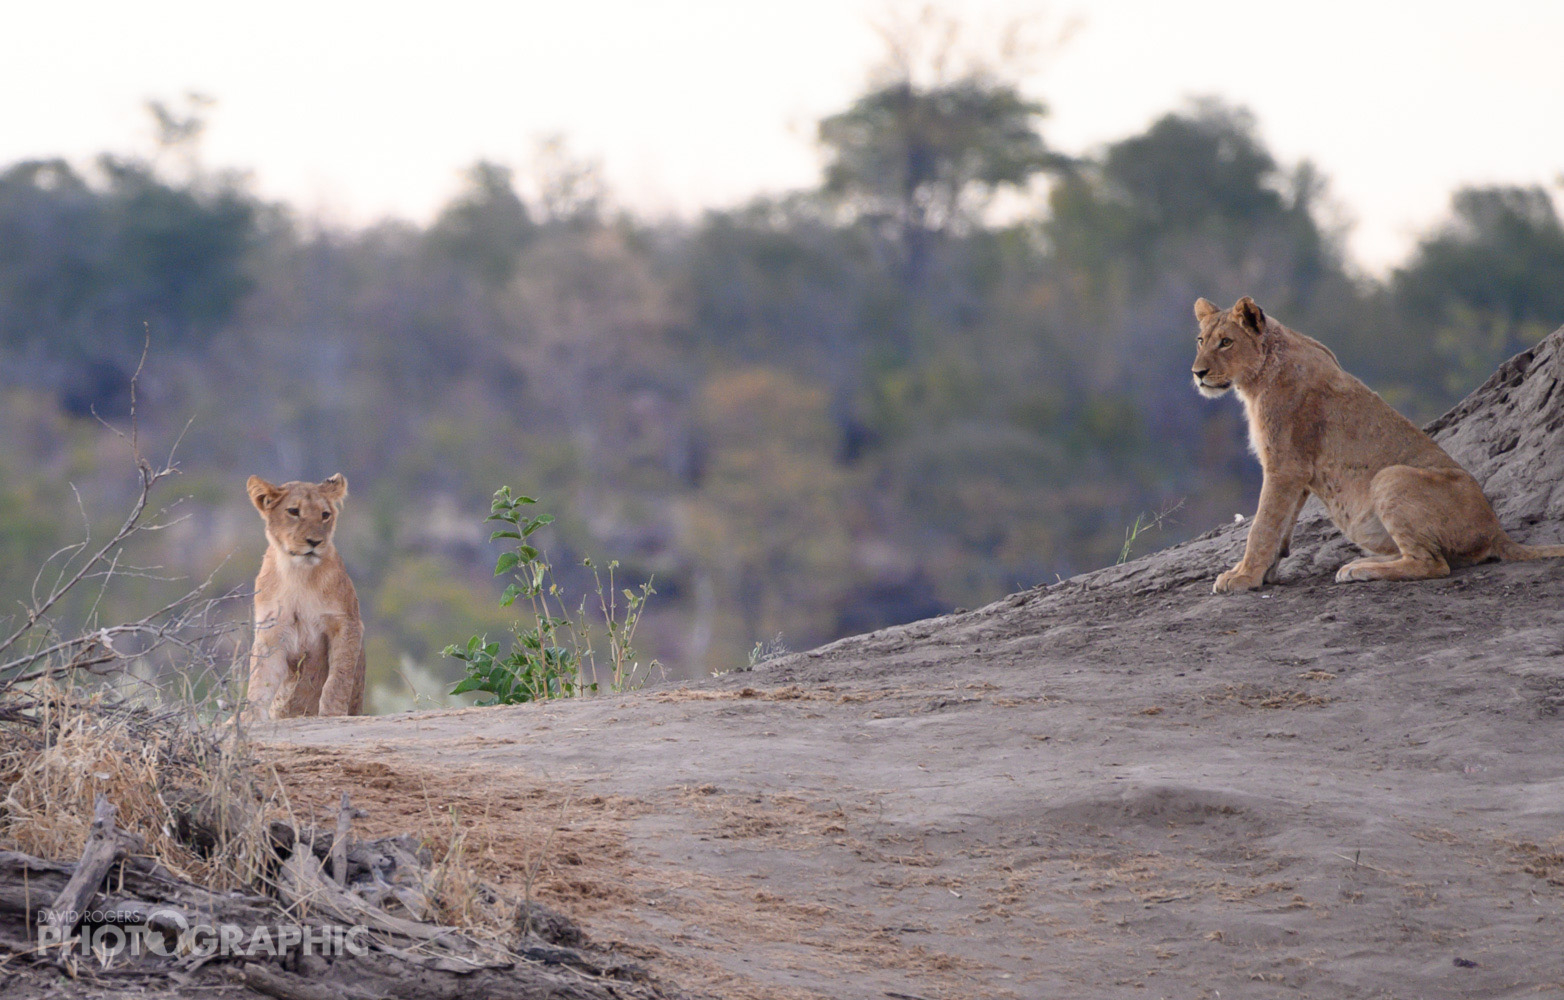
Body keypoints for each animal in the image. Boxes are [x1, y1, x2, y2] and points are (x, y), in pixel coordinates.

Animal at [242, 474, 365, 721]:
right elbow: (260, 679)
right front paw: (247, 719)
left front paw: (332, 713)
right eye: (293, 511)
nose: (314, 542)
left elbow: (338, 677)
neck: (297, 573)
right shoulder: (272, 631)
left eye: (325, 515)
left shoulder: (346, 623)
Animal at [1191, 296, 1564, 593]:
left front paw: (1243, 577)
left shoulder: (1285, 465)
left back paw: (1359, 569)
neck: (1255, 380)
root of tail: (1496, 530)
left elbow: (1263, 525)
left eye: (1226, 342)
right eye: (1200, 340)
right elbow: (1281, 528)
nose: (1198, 373)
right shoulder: (1298, 473)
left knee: (1432, 564)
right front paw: (1264, 573)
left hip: (1390, 476)